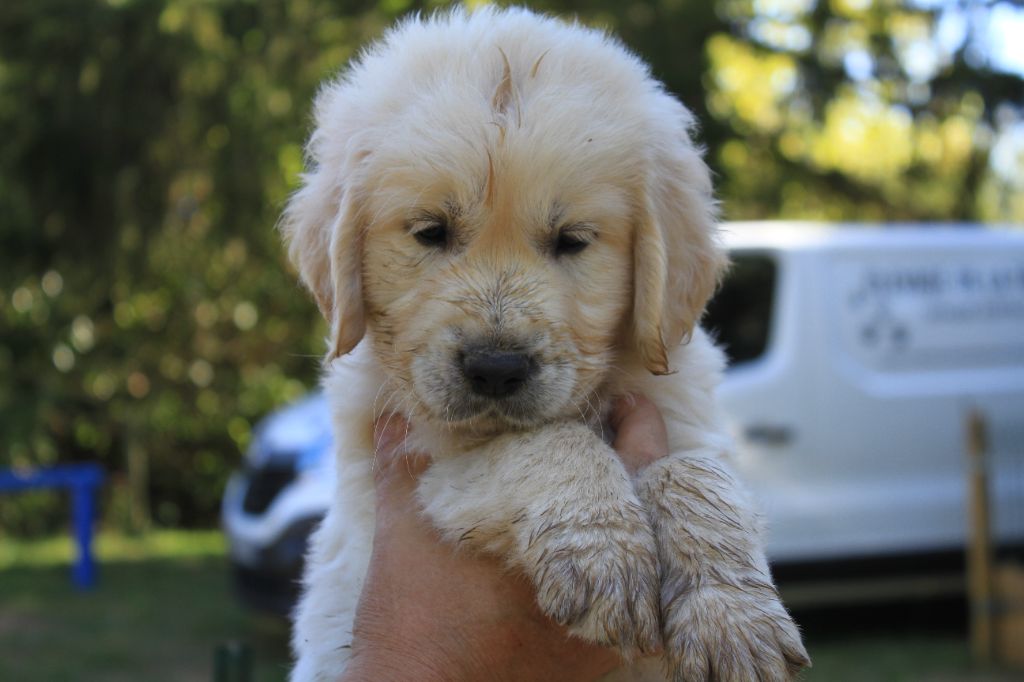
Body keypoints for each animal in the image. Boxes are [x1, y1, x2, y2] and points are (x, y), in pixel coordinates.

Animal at [280, 6, 806, 679]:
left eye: (572, 240)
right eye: (430, 232)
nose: (495, 368)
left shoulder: (688, 413)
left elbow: (694, 473)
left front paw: (732, 619)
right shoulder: (428, 451)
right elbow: (546, 443)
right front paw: (605, 551)